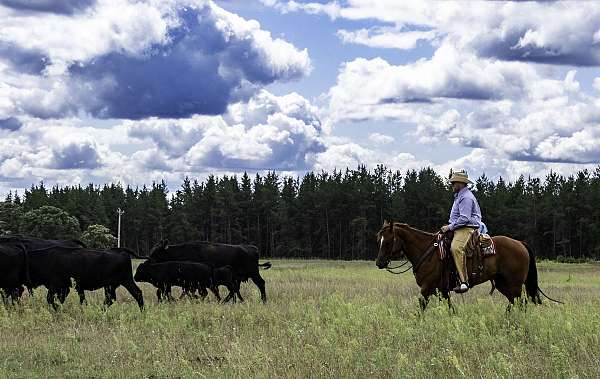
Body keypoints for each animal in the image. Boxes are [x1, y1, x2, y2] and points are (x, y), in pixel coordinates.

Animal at [376, 223, 556, 312]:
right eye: (379, 239)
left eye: (388, 241)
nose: (379, 263)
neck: (427, 251)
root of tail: (520, 243)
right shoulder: (442, 290)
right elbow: (450, 309)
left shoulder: (427, 288)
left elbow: (421, 307)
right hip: (502, 284)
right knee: (514, 302)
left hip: (514, 284)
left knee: (520, 303)